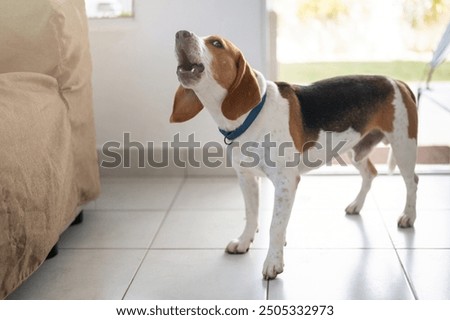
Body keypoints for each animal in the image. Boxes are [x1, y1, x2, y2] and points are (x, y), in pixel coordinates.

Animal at [170, 30, 418, 280]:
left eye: (217, 43)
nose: (181, 33)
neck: (251, 115)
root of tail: (396, 81)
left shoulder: (285, 182)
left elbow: (274, 226)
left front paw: (273, 262)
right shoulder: (247, 178)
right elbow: (251, 214)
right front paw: (244, 241)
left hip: (403, 147)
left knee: (412, 181)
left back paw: (408, 216)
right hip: (354, 149)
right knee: (370, 173)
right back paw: (356, 205)